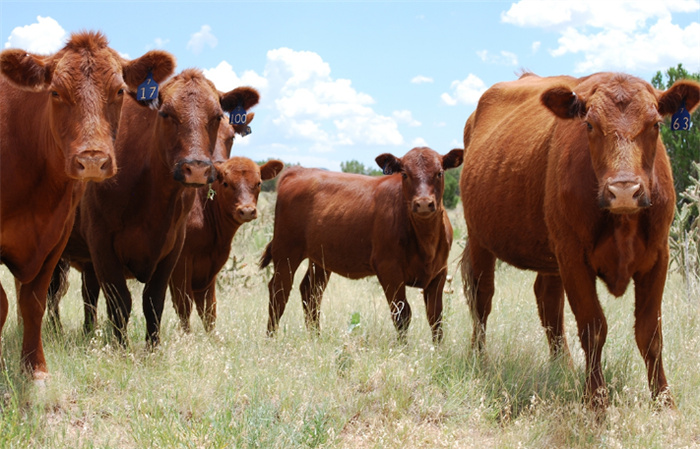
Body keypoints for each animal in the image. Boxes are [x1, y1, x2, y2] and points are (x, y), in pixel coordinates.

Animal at [0, 30, 175, 378]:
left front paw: (35, 370)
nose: (92, 160)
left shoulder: (54, 239)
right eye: (55, 92)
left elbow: (34, 302)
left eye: (119, 91)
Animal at [48, 70, 262, 344]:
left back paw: (88, 333)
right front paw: (121, 348)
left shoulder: (173, 248)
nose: (199, 168)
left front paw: (153, 348)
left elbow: (155, 302)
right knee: (50, 292)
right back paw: (53, 331)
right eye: (166, 114)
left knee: (87, 294)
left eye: (218, 119)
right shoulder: (102, 242)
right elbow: (120, 302)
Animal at [168, 155, 284, 332]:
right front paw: (186, 337)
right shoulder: (180, 266)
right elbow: (184, 306)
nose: (247, 210)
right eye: (226, 183)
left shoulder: (209, 270)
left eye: (258, 183)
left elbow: (209, 310)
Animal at [260, 145, 462, 342]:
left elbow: (436, 317)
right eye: (404, 174)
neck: (426, 240)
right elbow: (402, 314)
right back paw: (271, 339)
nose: (423, 203)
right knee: (279, 291)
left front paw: (438, 350)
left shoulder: (439, 273)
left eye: (439, 173)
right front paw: (403, 348)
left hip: (320, 259)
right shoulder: (389, 270)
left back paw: (316, 338)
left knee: (311, 292)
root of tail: (298, 171)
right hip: (286, 251)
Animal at [460, 72, 700, 408]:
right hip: (480, 238)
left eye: (655, 124)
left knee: (547, 300)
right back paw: (479, 360)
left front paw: (664, 401)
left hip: (549, 254)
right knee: (482, 298)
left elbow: (650, 332)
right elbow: (593, 328)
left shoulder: (658, 256)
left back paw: (563, 366)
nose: (623, 190)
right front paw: (596, 400)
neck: (622, 221)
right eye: (589, 125)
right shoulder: (573, 258)